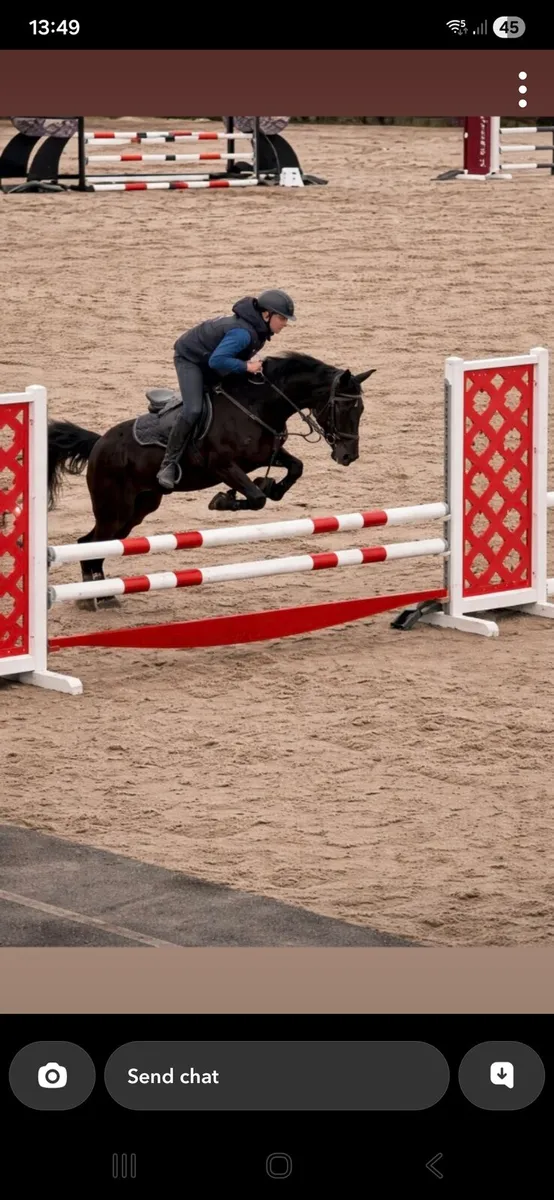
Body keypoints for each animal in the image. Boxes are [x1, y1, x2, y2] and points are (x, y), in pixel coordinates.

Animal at [47, 350, 375, 609]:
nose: (348, 456)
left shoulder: (266, 455)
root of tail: (99, 444)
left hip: (139, 508)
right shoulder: (222, 466)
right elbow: (256, 498)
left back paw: (99, 594)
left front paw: (272, 486)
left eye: (360, 408)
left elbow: (295, 468)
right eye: (344, 407)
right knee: (90, 543)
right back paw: (97, 596)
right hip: (114, 507)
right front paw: (224, 500)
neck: (257, 404)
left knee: (94, 544)